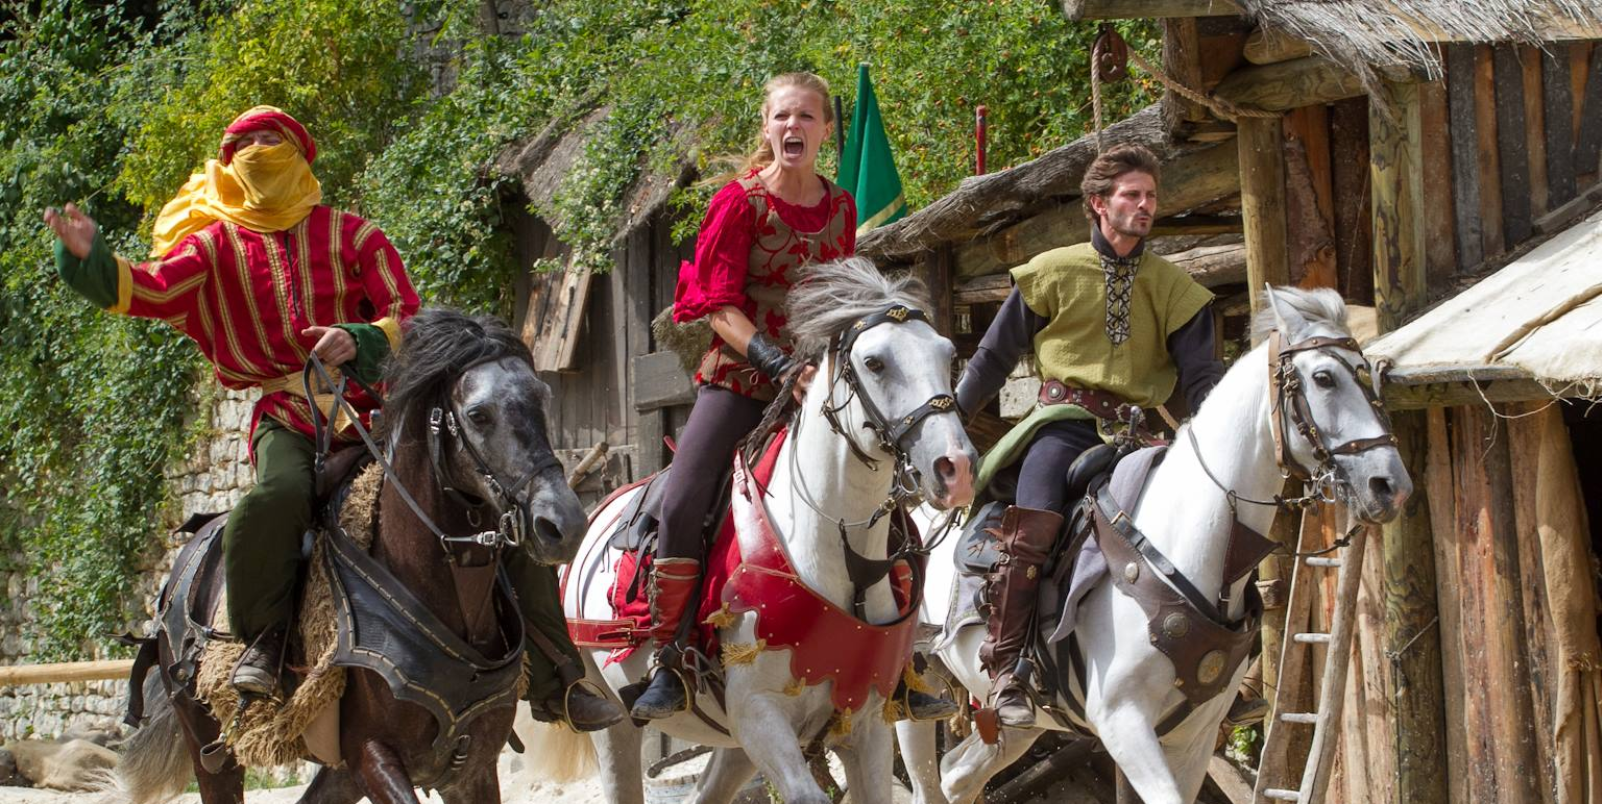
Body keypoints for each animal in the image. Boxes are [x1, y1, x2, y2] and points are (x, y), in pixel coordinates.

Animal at [904, 287, 1417, 802]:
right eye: (1324, 378)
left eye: (1367, 374)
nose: (1390, 486)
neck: (1182, 548)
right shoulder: (1123, 722)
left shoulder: (1194, 737)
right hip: (916, 688)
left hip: (1021, 725)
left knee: (956, 776)